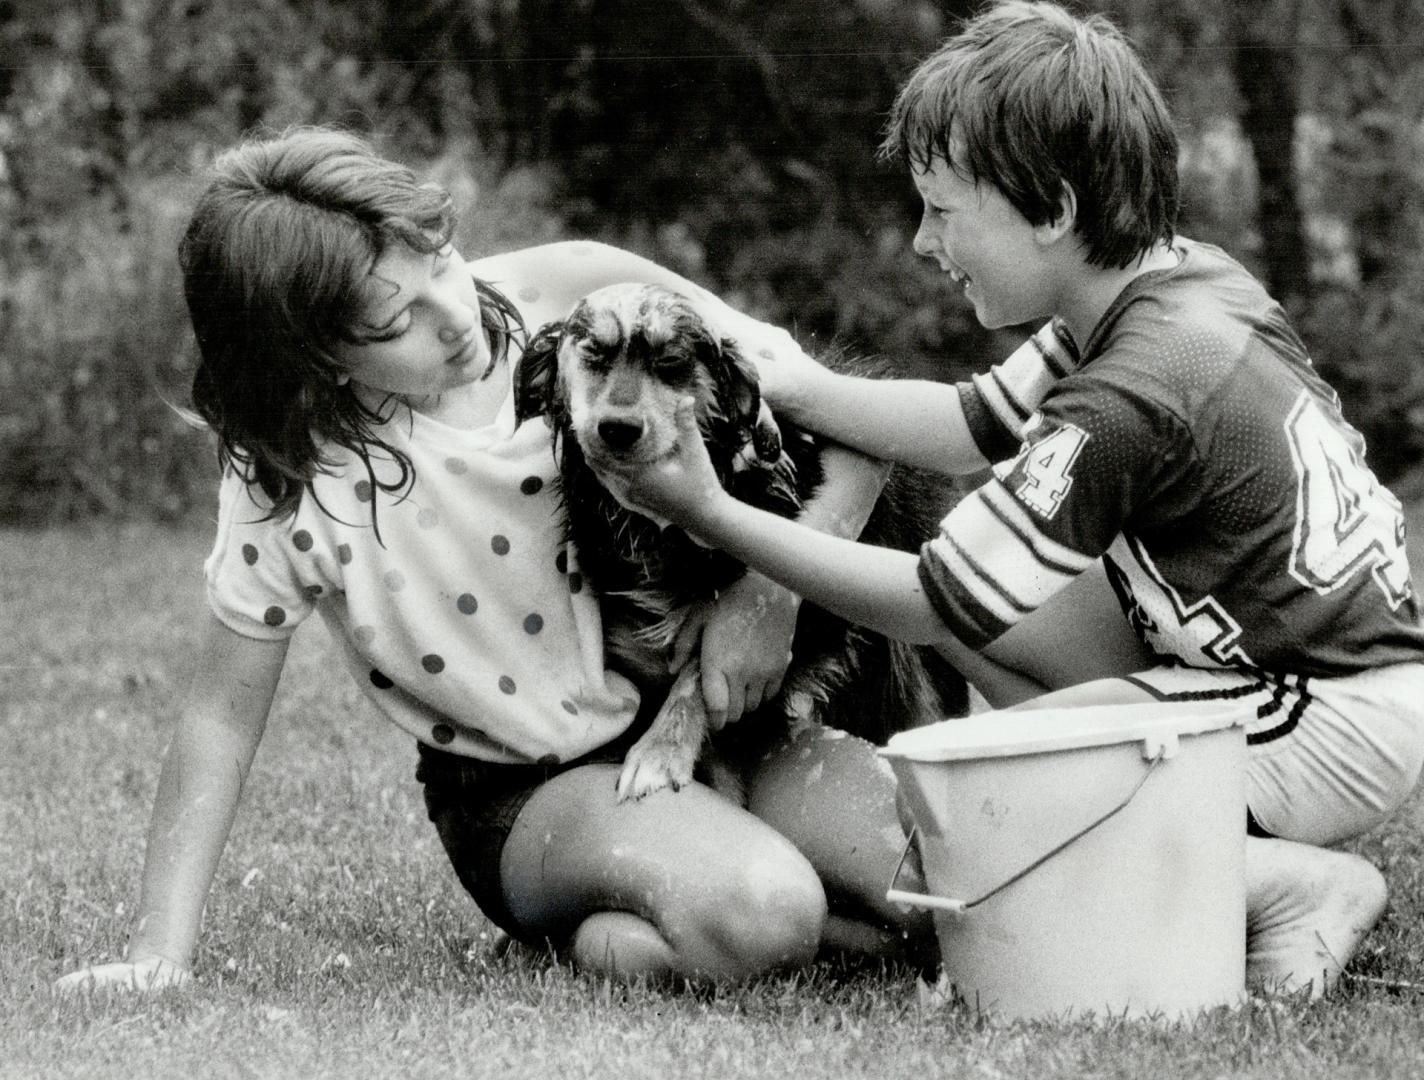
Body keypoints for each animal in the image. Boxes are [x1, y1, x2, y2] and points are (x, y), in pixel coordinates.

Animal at [518, 283, 962, 797]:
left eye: (672, 362)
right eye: (594, 353)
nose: (617, 430)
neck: (660, 531)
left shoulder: (798, 635)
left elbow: (702, 673)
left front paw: (658, 752)